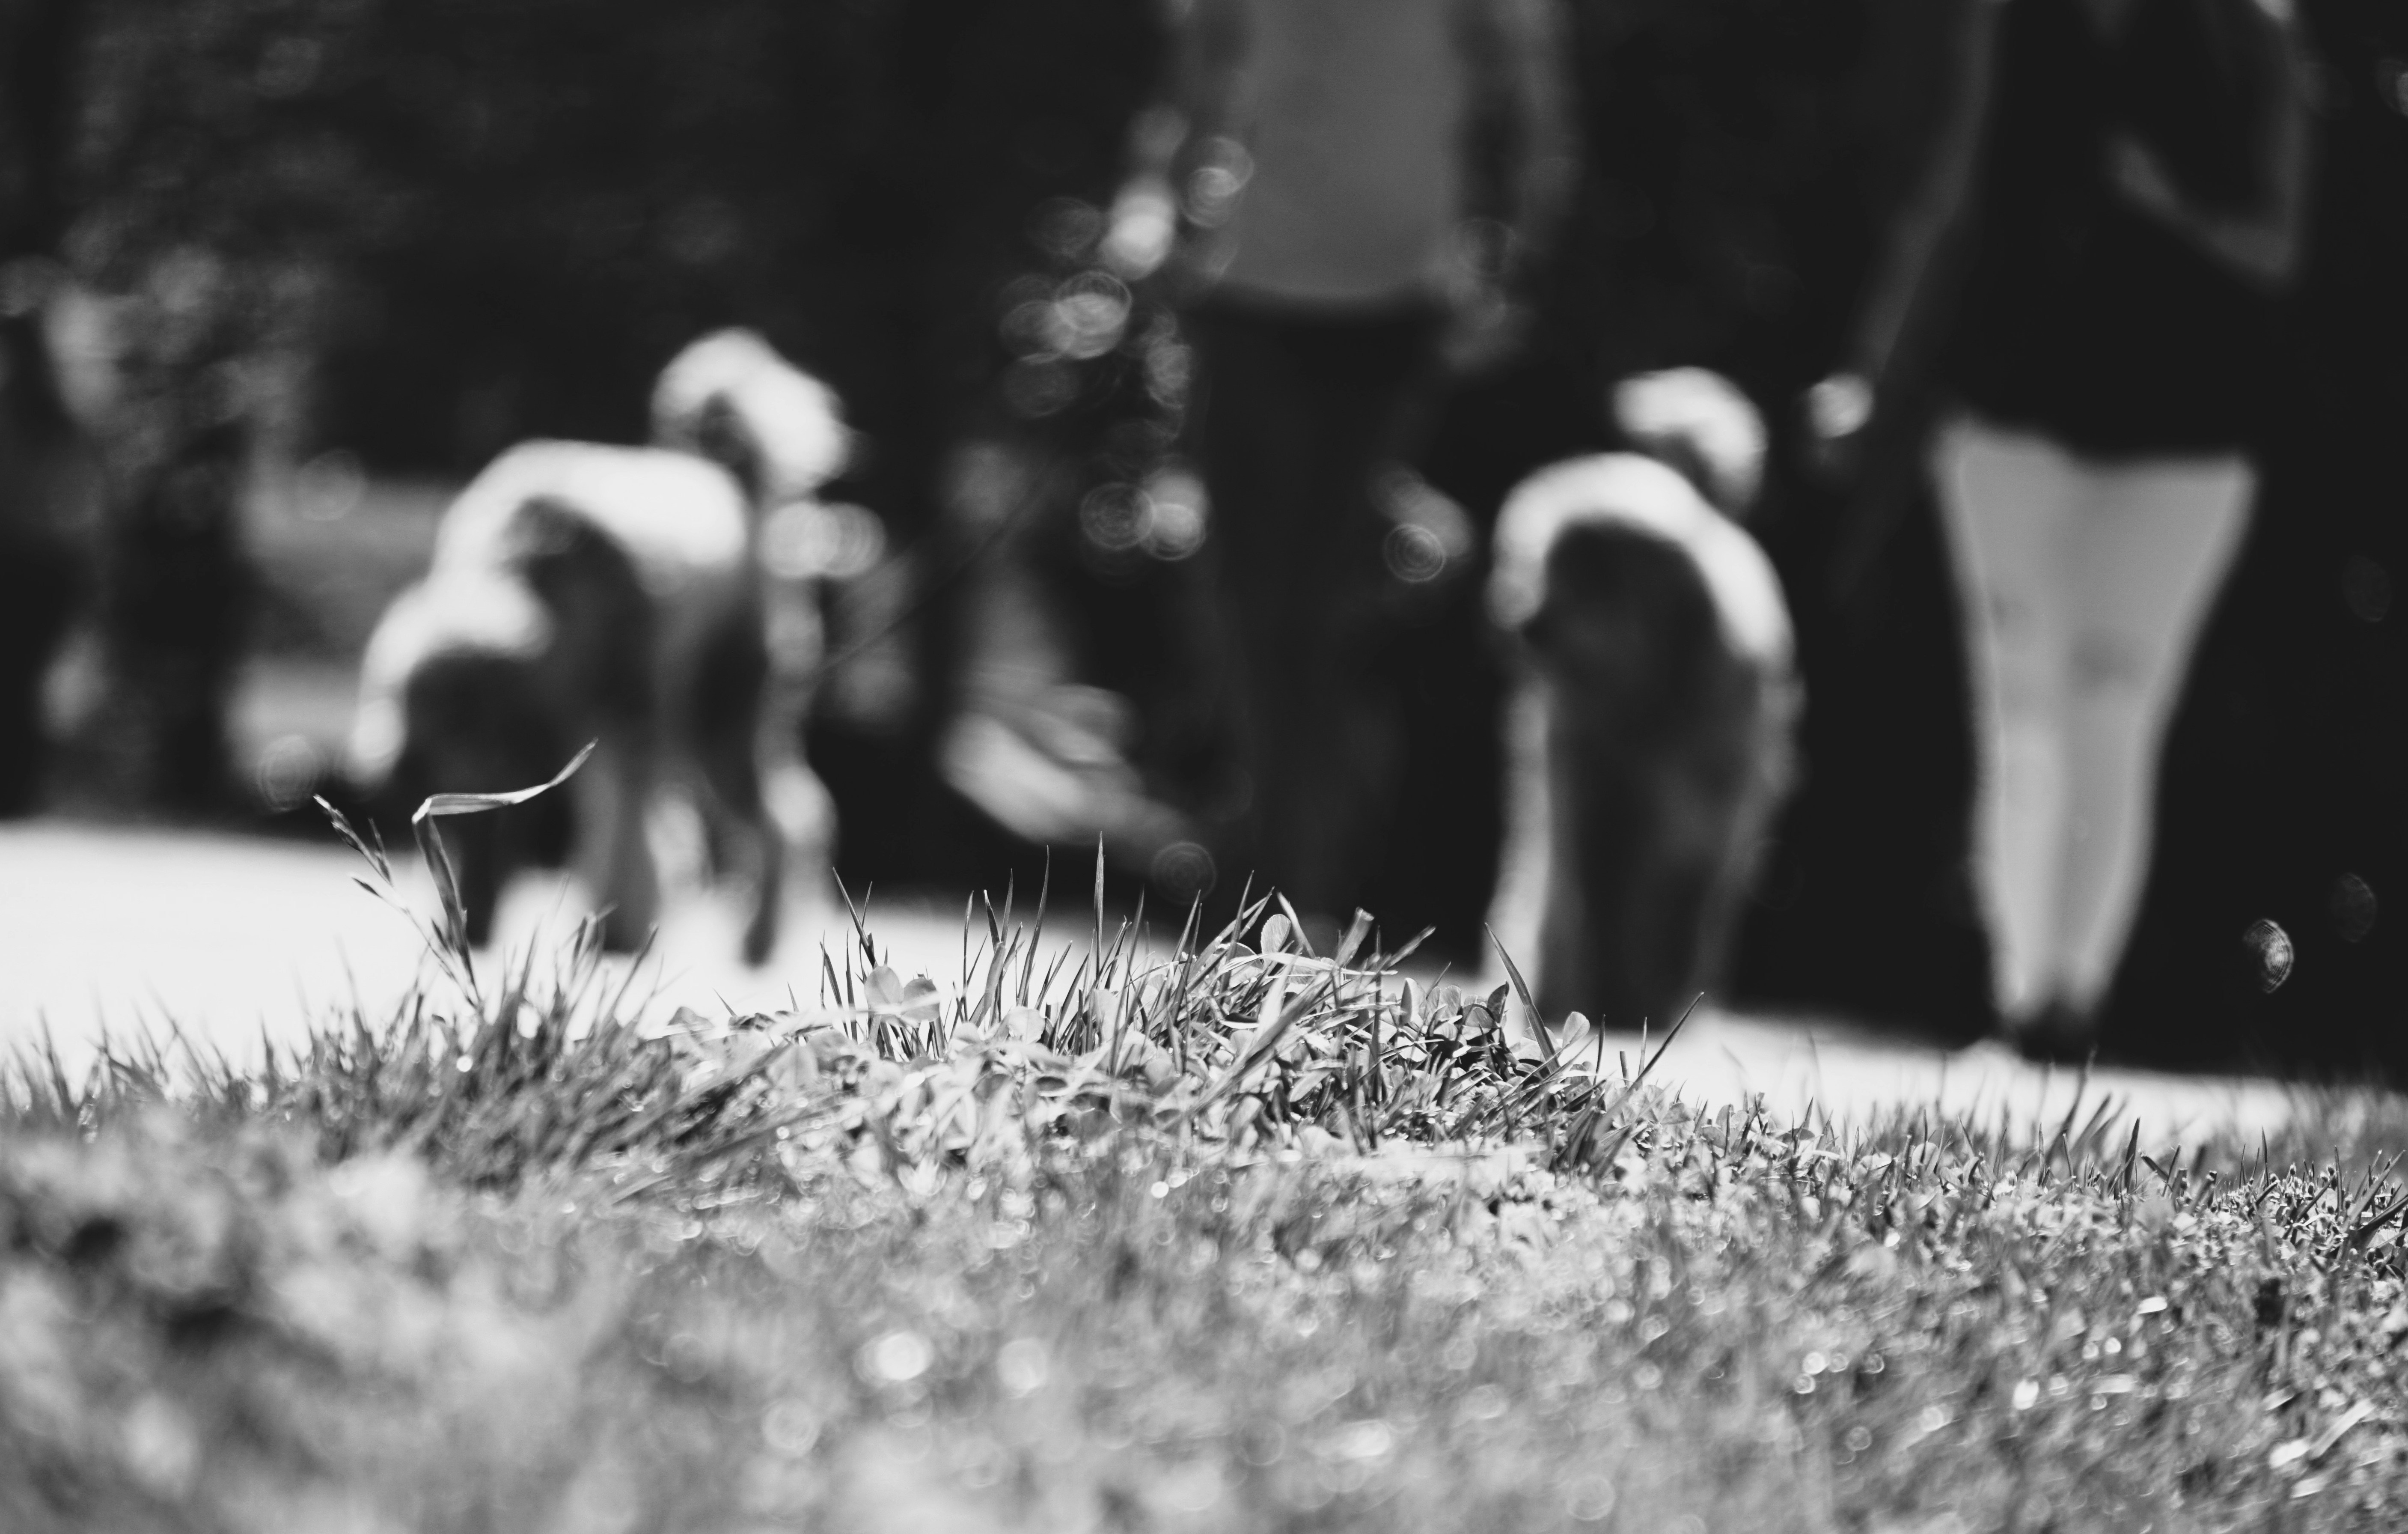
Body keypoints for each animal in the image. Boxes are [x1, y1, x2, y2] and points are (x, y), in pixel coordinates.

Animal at [349, 329, 853, 962]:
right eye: (447, 827)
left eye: (495, 821)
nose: (474, 931)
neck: (537, 569)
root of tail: (730, 481)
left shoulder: (629, 730)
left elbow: (631, 836)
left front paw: (619, 929)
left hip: (725, 710)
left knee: (788, 818)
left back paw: (759, 938)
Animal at [1485, 368, 1799, 1033]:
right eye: (1529, 562)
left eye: (1586, 577)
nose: (1516, 619)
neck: (1648, 699)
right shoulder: (1593, 803)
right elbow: (1595, 900)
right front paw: (1602, 996)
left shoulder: (1711, 817)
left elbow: (1683, 907)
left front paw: (1653, 999)